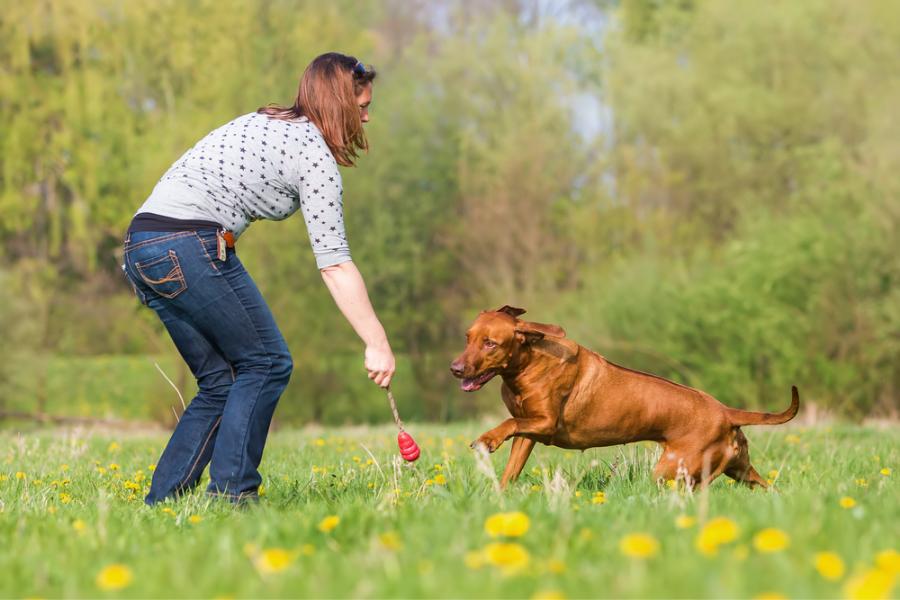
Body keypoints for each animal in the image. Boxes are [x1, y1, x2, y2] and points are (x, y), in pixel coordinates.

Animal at [454, 304, 800, 488]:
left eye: (490, 343)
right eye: (468, 338)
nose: (455, 368)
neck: (527, 363)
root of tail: (727, 411)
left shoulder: (546, 423)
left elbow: (509, 423)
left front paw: (487, 438)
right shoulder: (530, 430)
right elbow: (511, 466)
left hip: (671, 471)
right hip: (739, 469)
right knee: (768, 490)